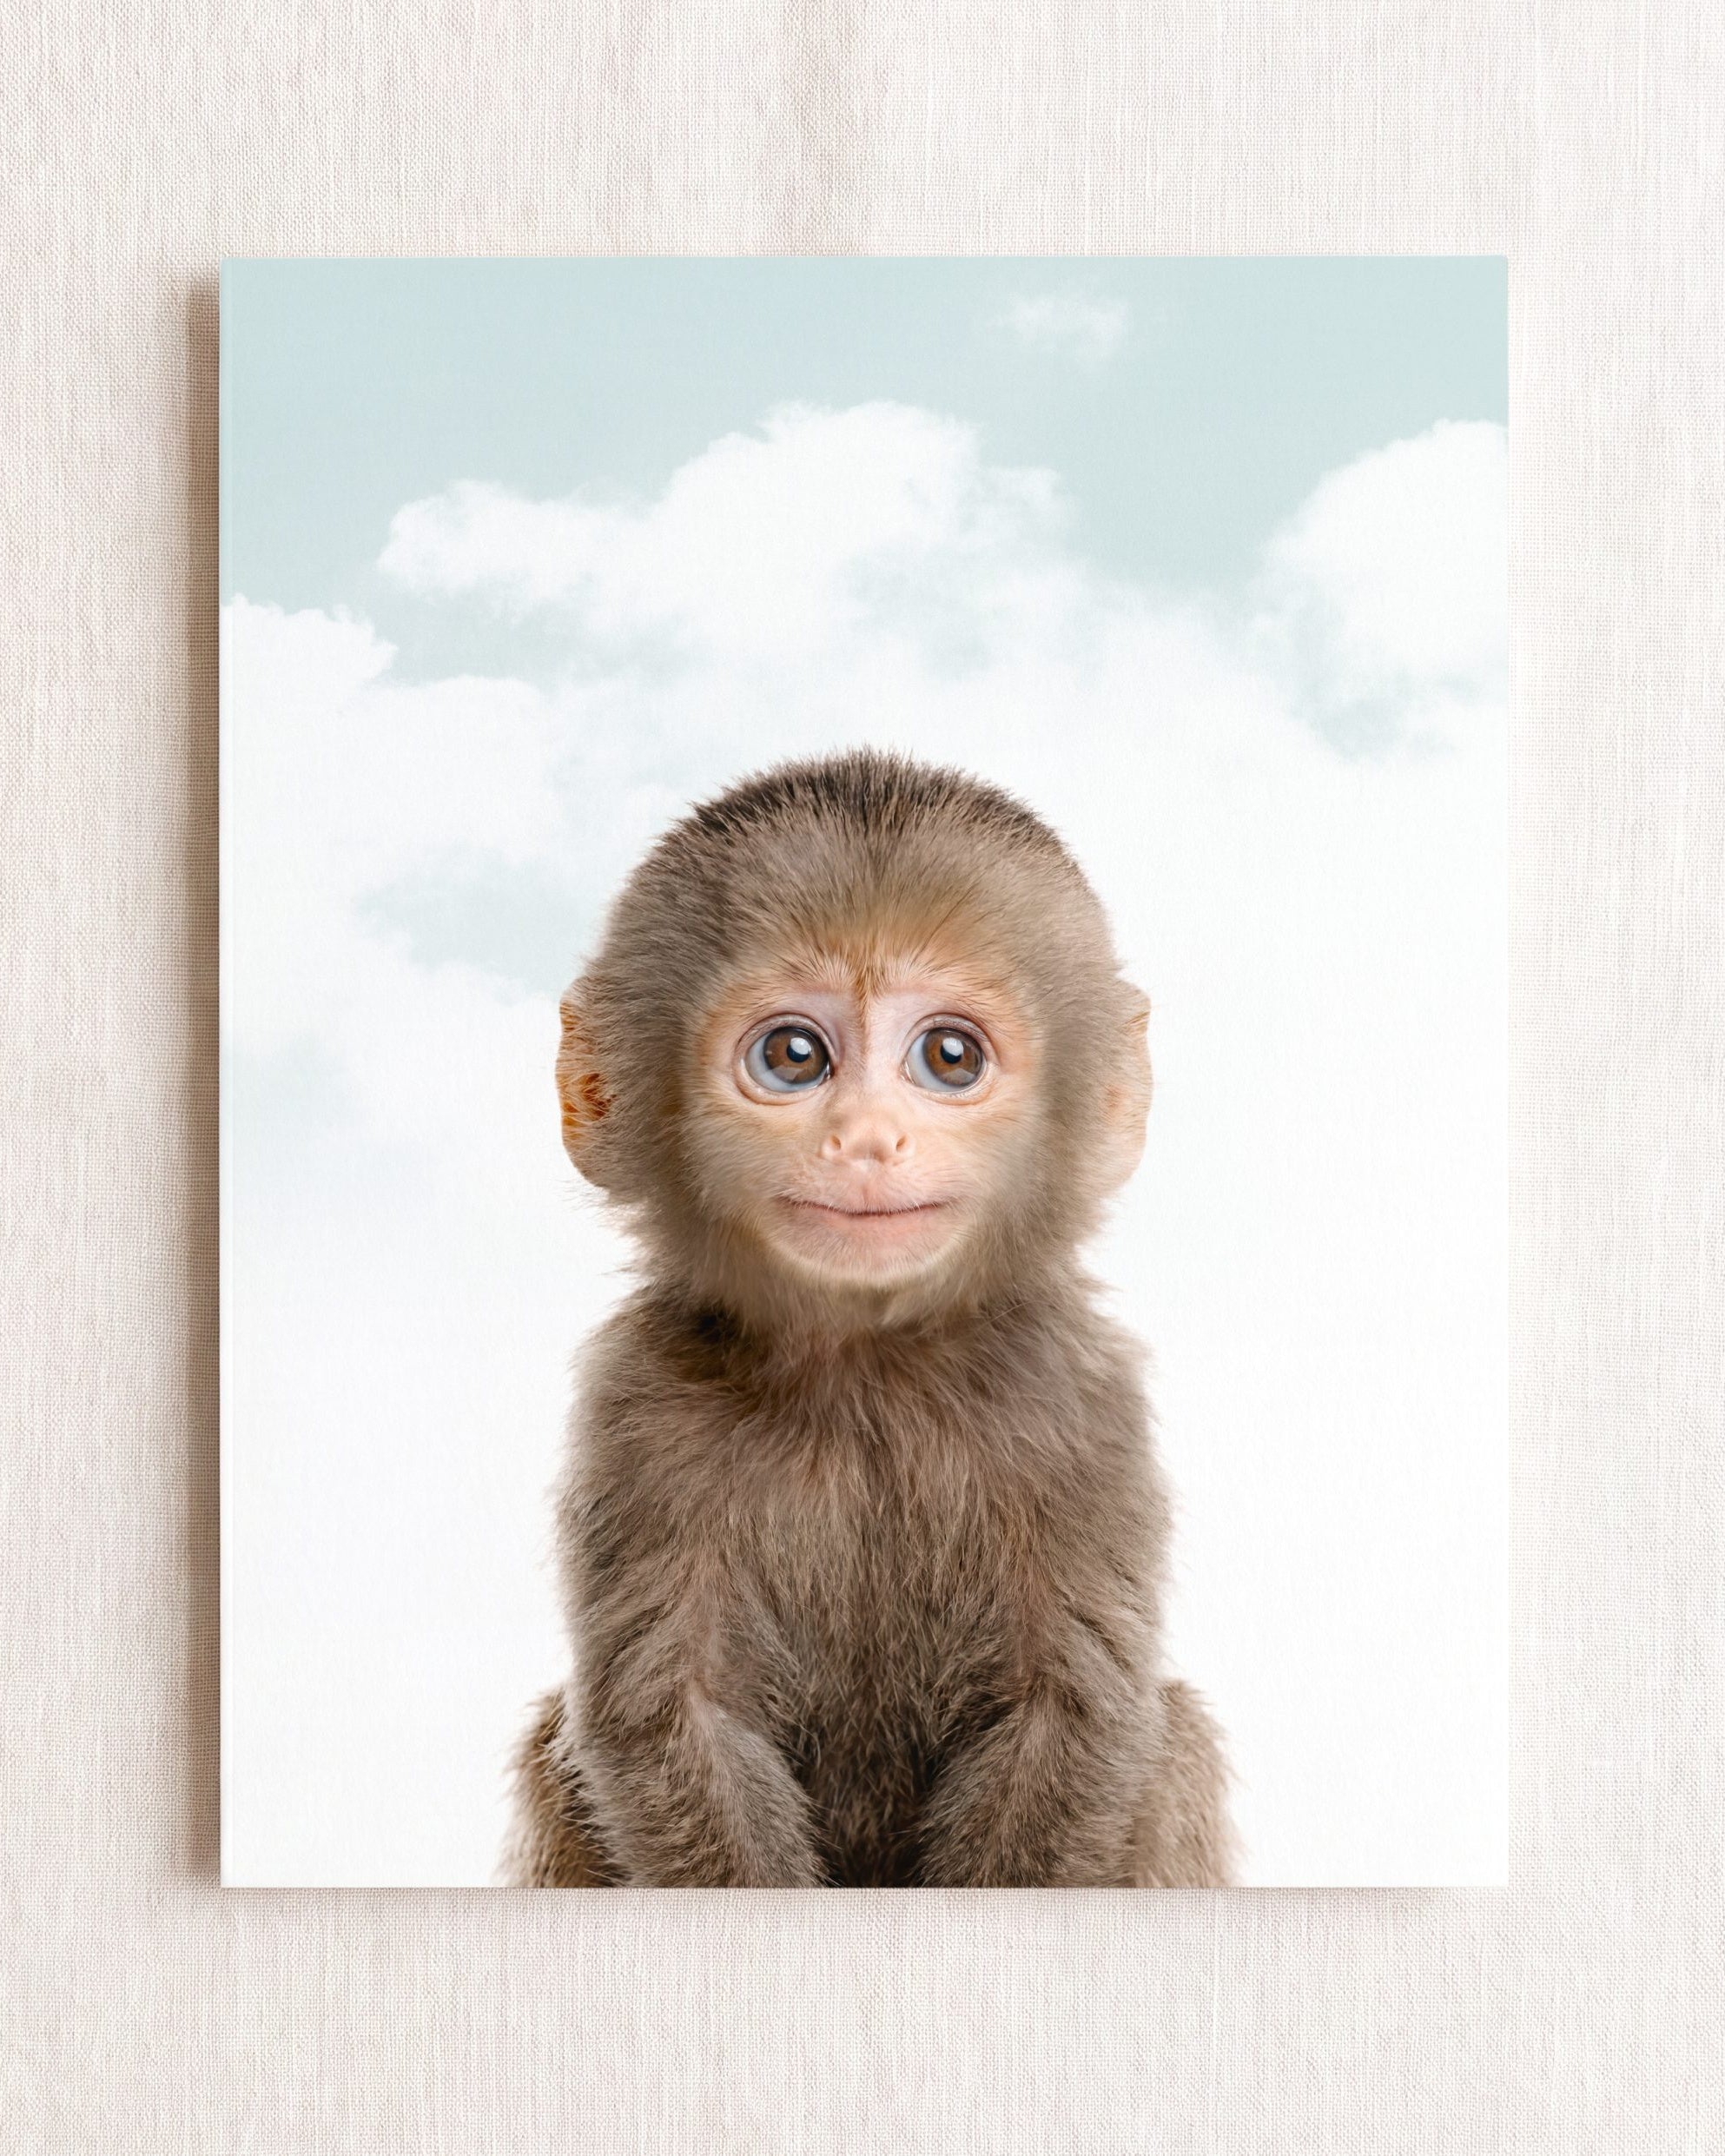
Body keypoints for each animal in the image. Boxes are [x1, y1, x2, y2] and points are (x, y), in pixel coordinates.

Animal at [505, 749, 1234, 1888]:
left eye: (949, 1058)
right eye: (794, 1056)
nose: (867, 1138)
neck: (868, 1368)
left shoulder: (1081, 1399)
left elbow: (1071, 1715)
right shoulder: (638, 1404)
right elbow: (673, 1720)